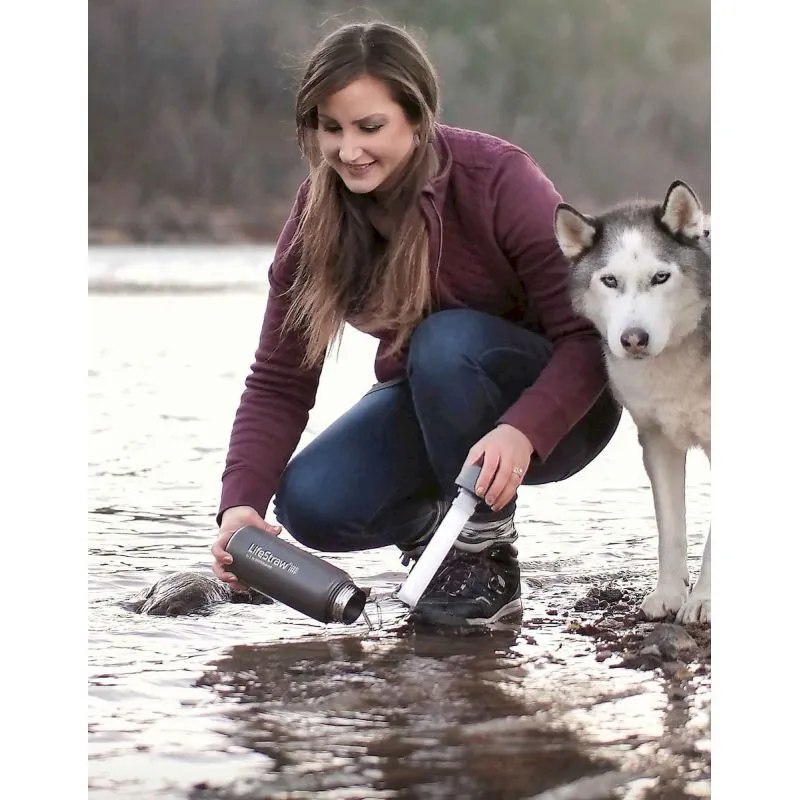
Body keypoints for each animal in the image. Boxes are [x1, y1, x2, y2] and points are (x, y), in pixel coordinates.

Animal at [552, 181, 708, 624]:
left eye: (660, 277)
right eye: (609, 280)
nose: (633, 339)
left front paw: (705, 599)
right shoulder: (657, 441)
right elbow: (670, 529)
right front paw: (670, 594)